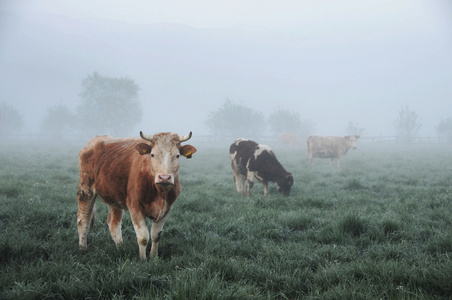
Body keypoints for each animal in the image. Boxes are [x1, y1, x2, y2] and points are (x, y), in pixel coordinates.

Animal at [76, 131, 196, 260]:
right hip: (85, 189)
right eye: (152, 154)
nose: (164, 177)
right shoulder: (135, 206)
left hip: (114, 196)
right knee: (83, 220)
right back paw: (82, 248)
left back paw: (120, 248)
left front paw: (153, 257)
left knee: (113, 224)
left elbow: (156, 236)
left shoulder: (167, 209)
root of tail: (96, 139)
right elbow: (143, 237)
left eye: (177, 155)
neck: (159, 193)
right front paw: (143, 260)